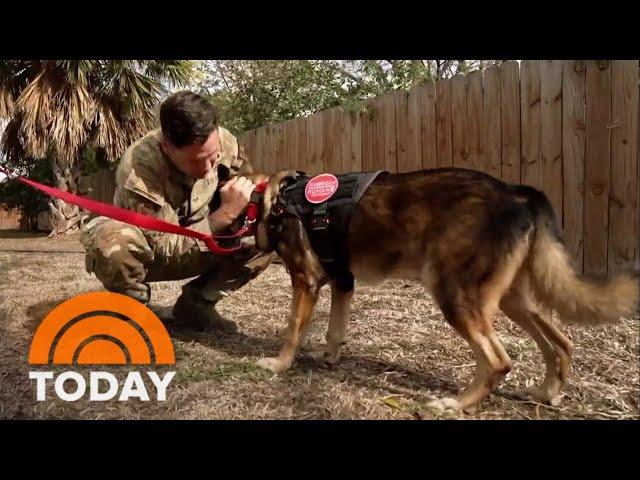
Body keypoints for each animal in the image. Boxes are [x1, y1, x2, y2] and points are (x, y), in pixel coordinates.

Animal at [248, 167, 636, 410]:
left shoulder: (305, 281)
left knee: (499, 360)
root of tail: (517, 194)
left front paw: (279, 364)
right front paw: (328, 357)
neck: (273, 200)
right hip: (513, 301)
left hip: (454, 294)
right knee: (562, 343)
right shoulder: (343, 282)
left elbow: (293, 329)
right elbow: (334, 330)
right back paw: (547, 393)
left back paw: (457, 404)